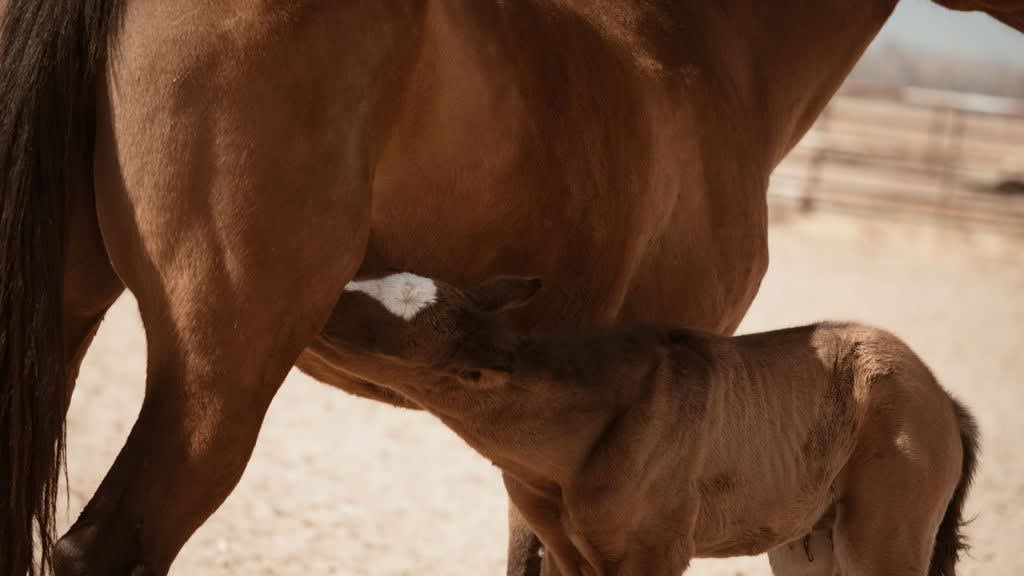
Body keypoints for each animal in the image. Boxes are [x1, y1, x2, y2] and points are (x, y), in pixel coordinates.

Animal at [323, 272, 979, 576]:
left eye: (380, 335)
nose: (322, 305)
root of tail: (945, 401)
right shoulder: (568, 554)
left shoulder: (655, 553)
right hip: (808, 544)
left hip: (884, 538)